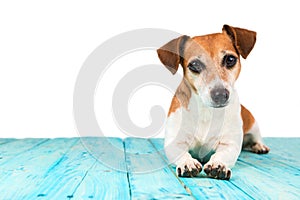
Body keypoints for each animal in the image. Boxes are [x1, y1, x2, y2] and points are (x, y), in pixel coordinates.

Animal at [157, 24, 270, 179]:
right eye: (194, 65)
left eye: (230, 59)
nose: (220, 95)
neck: (207, 111)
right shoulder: (175, 142)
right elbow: (182, 154)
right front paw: (188, 163)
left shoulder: (229, 144)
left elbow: (222, 155)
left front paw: (218, 164)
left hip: (253, 125)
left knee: (256, 137)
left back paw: (259, 146)